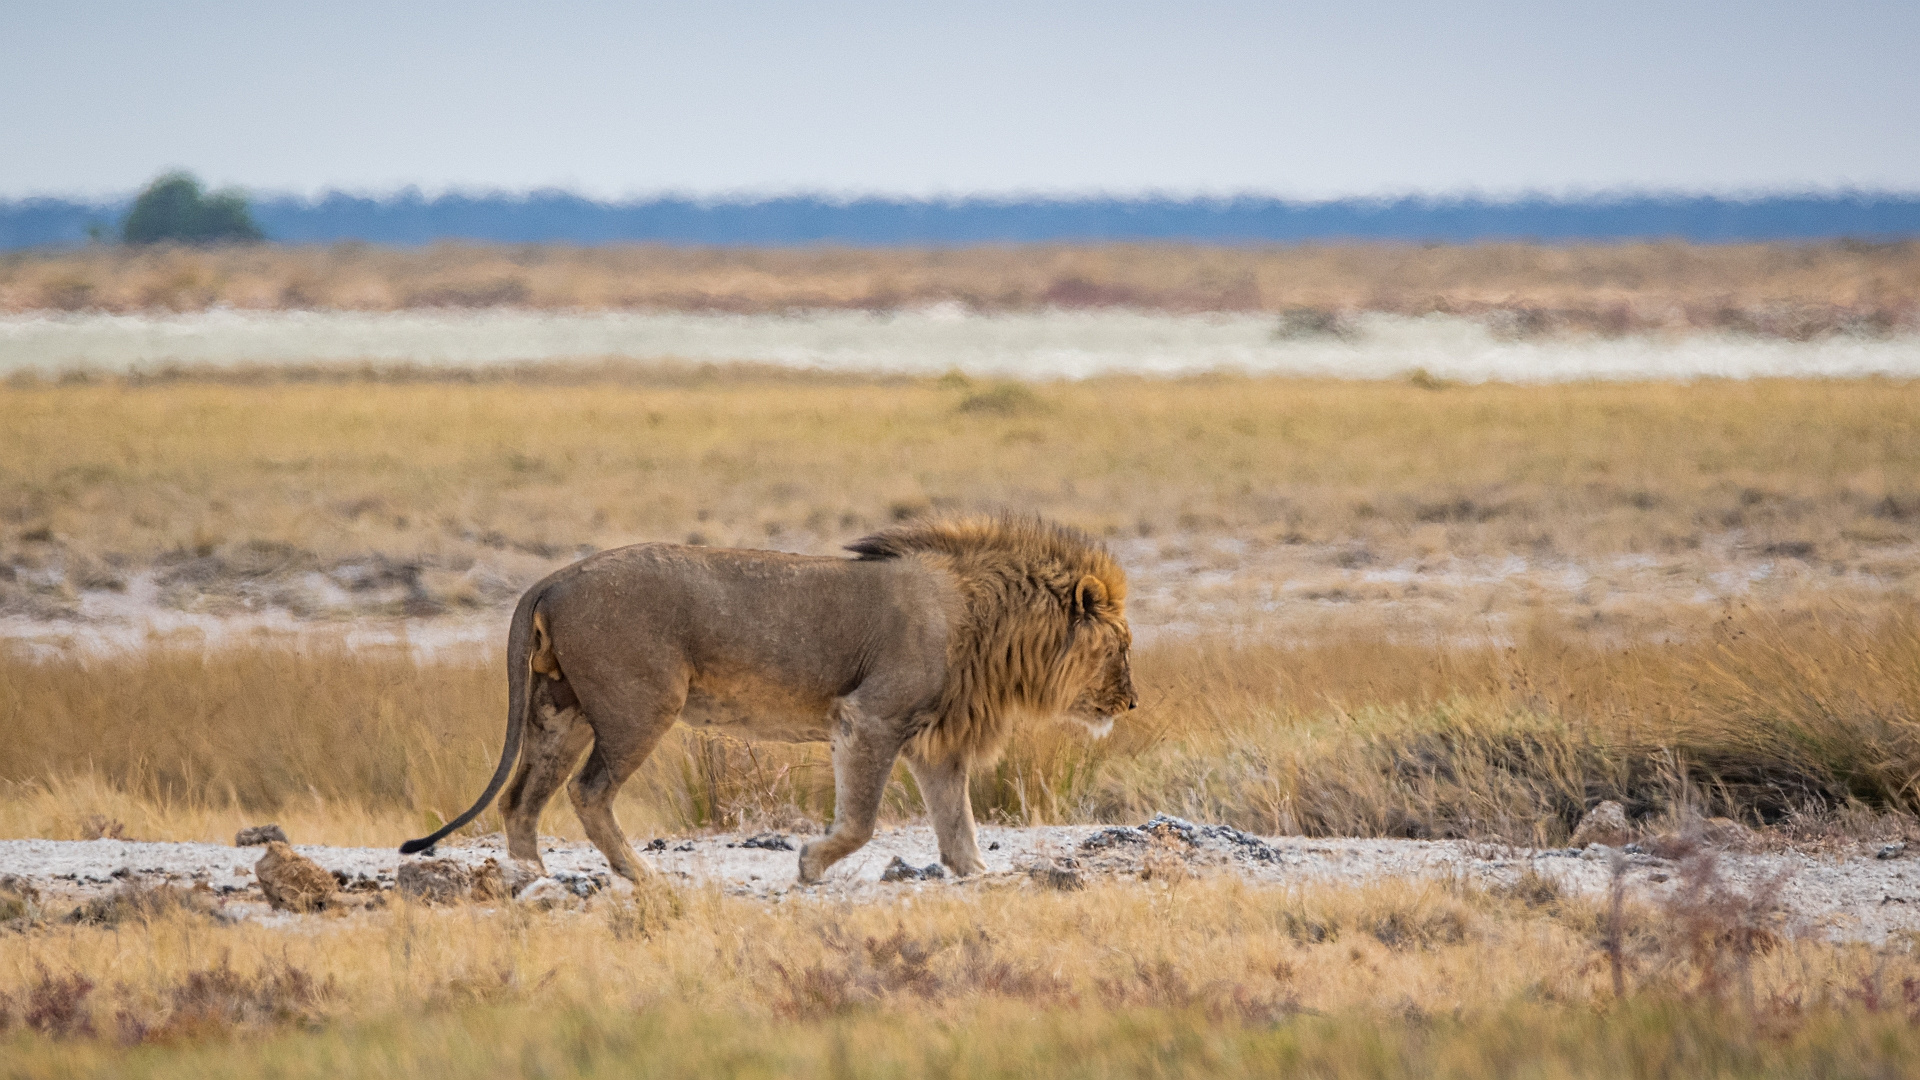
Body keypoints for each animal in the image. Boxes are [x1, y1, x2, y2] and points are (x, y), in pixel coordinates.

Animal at [397, 515, 1128, 883]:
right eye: (1122, 647)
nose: (1132, 704)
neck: (988, 625)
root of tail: (552, 576)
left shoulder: (932, 739)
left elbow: (957, 821)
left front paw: (978, 874)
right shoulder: (869, 718)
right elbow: (861, 821)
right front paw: (809, 866)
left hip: (561, 708)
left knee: (523, 799)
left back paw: (534, 879)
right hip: (638, 707)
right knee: (587, 792)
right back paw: (640, 875)